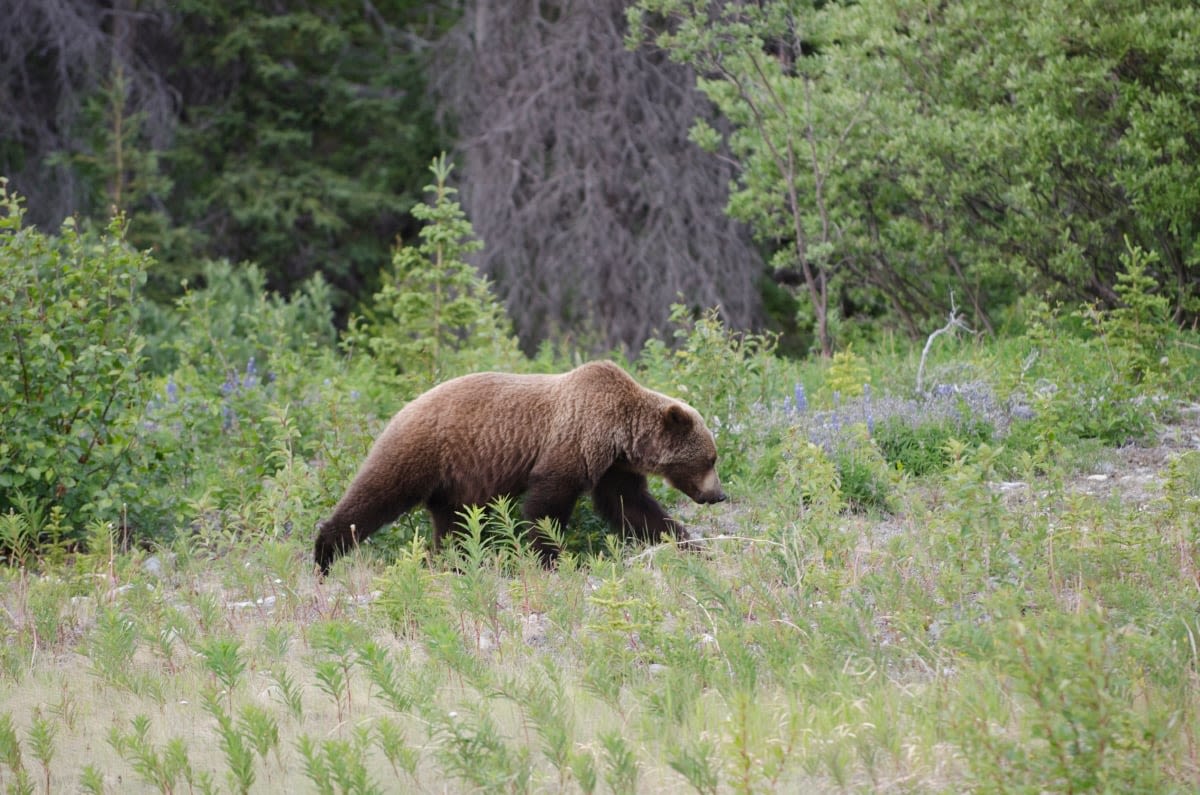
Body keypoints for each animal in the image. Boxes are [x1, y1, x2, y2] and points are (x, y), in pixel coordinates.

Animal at [314, 361, 726, 575]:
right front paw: (551, 559)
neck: (620, 435)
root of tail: (402, 407)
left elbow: (632, 507)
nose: (719, 494)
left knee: (454, 525)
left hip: (456, 483)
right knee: (375, 495)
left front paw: (691, 546)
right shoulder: (573, 442)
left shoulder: (613, 467)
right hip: (419, 451)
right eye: (710, 458)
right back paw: (324, 555)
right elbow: (546, 505)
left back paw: (455, 563)